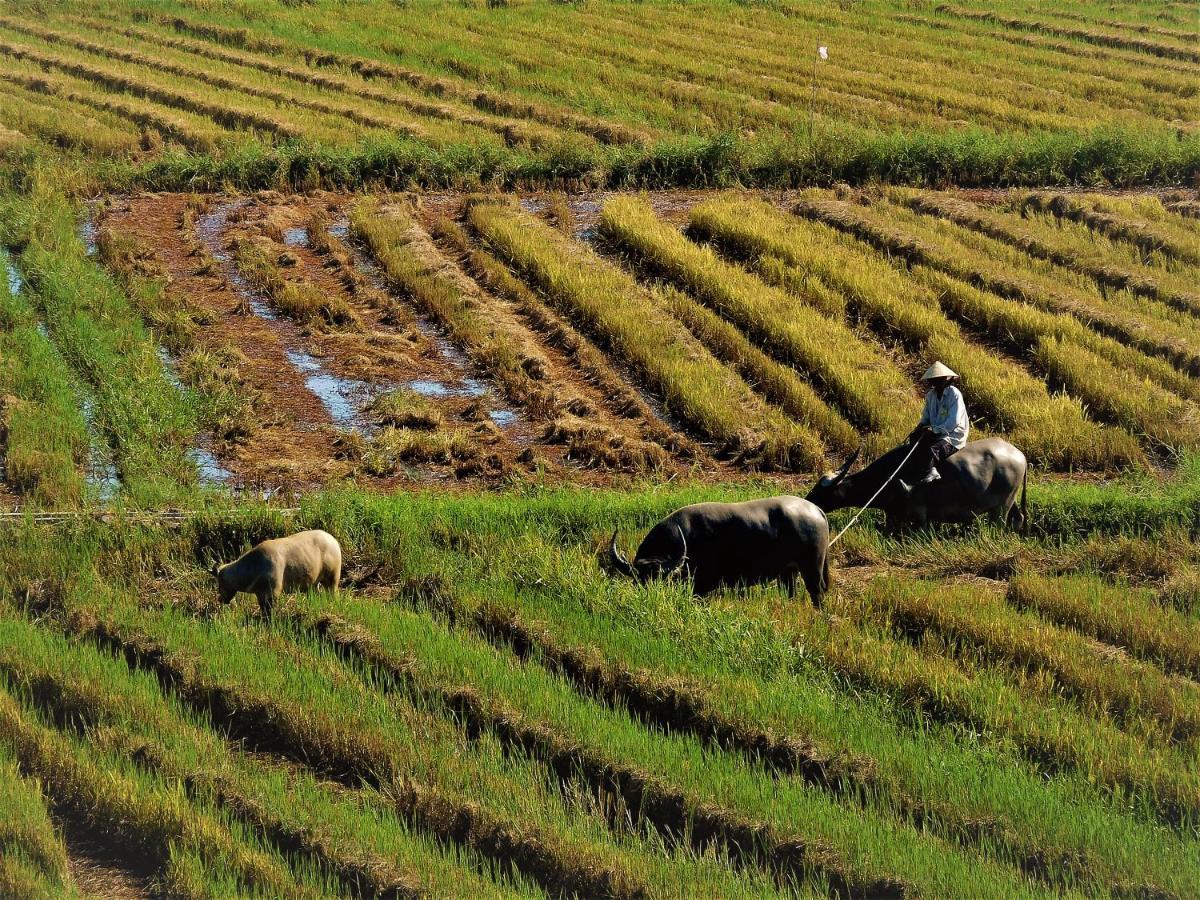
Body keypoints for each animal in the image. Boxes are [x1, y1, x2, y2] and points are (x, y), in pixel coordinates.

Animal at [211, 528, 340, 619]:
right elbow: (263, 609)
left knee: (333, 592)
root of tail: (334, 541)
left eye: (219, 583)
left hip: (332, 577)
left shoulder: (272, 592)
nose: (220, 600)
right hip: (314, 582)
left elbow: (270, 610)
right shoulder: (260, 594)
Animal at [609, 496, 835, 609]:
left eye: (659, 580)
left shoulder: (701, 586)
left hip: (812, 568)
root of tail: (816, 510)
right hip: (788, 572)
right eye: (638, 581)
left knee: (817, 592)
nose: (648, 599)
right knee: (791, 592)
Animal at [801, 439, 1027, 532]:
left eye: (822, 491)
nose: (807, 503)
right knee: (1019, 518)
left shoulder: (921, 515)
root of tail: (1019, 454)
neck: (890, 477)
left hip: (1001, 507)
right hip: (1011, 502)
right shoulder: (892, 514)